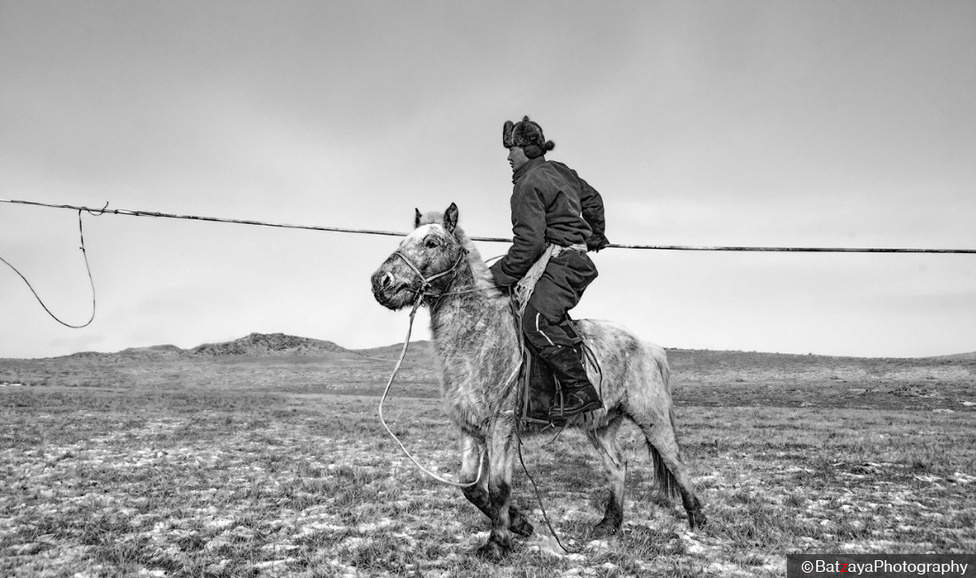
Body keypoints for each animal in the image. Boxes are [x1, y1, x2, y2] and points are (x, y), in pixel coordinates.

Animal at [370, 202, 704, 560]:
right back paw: (609, 524)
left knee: (675, 461)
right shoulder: (470, 428)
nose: (380, 281)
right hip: (600, 425)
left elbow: (498, 487)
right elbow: (471, 487)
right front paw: (521, 524)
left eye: (431, 243)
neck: (480, 336)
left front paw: (498, 543)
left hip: (651, 418)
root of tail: (648, 345)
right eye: (403, 241)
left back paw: (697, 520)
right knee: (618, 466)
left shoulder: (501, 426)